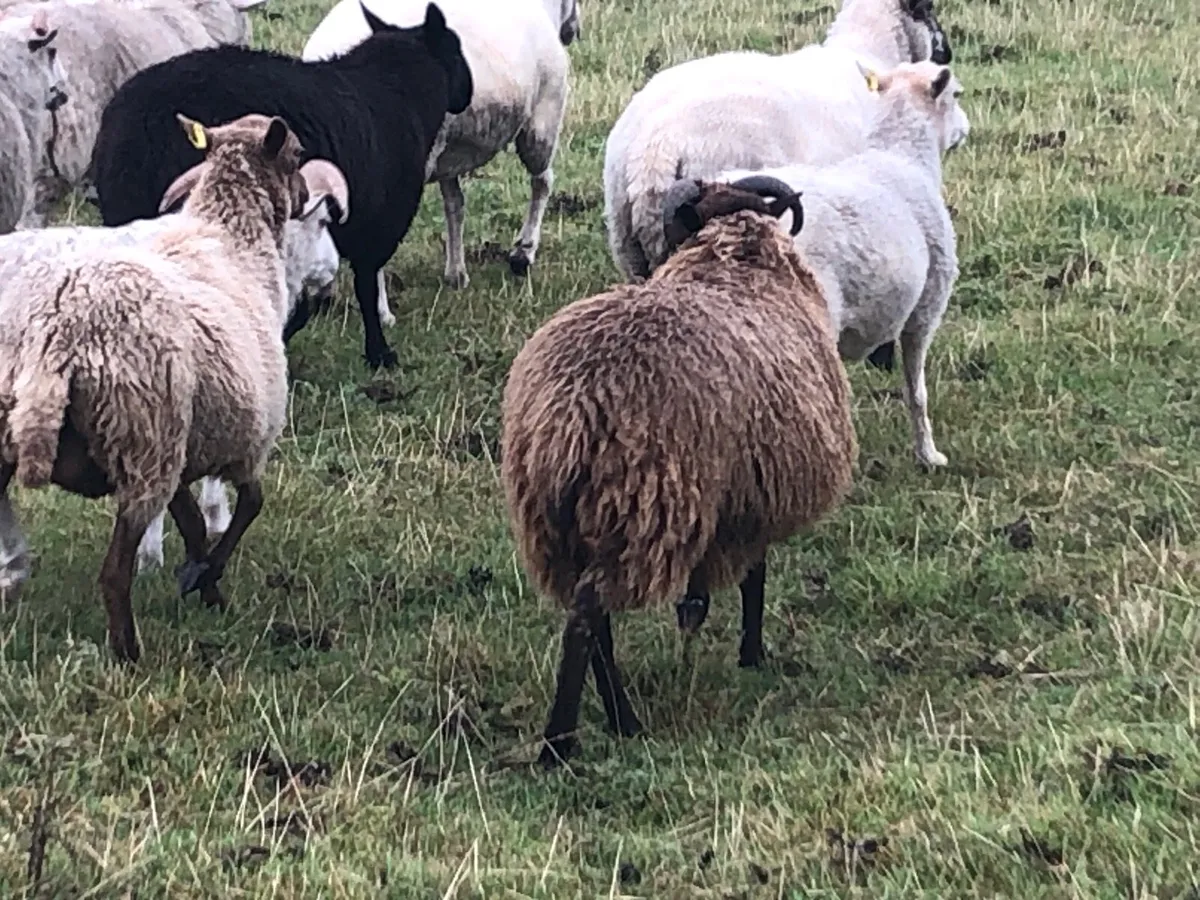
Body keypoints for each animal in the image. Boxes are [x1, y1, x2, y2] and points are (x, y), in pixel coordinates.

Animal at [0, 112, 350, 662]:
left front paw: (203, 582)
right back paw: (128, 653)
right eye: (296, 154)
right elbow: (248, 505)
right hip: (143, 443)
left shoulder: (186, 445)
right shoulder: (244, 439)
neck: (230, 234)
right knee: (112, 575)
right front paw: (205, 577)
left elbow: (191, 519)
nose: (299, 199)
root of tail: (59, 336)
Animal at [90, 1, 474, 370]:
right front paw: (379, 354)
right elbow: (364, 286)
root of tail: (137, 125)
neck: (396, 90)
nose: (467, 93)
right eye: (455, 49)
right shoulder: (377, 224)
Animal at [500, 176, 857, 766]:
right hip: (639, 508)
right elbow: (755, 576)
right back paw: (563, 742)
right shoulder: (752, 495)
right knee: (587, 620)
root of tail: (572, 411)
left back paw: (619, 720)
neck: (735, 255)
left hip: (555, 522)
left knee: (594, 621)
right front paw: (752, 653)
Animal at [716, 61, 965, 470]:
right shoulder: (925, 310)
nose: (965, 131)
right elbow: (917, 391)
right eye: (956, 94)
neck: (903, 156)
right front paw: (929, 455)